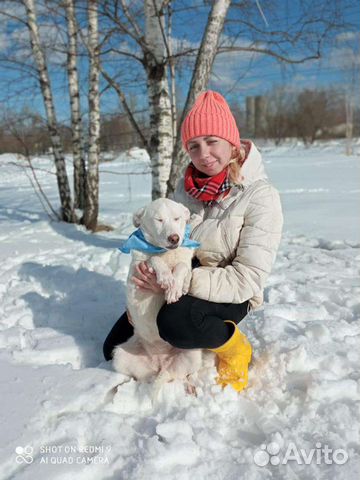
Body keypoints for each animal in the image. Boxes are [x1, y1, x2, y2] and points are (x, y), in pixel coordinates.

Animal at [112, 197, 202, 392]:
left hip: (193, 354)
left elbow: (182, 266)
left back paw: (190, 386)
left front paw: (176, 287)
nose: (174, 238)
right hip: (119, 355)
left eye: (176, 218)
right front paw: (166, 278)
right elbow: (153, 259)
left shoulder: (185, 261)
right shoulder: (139, 267)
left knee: (183, 375)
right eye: (159, 220)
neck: (167, 253)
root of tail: (161, 363)